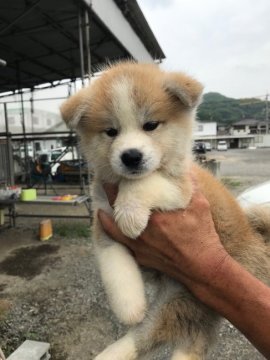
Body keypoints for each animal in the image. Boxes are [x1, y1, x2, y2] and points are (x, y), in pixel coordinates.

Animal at [61, 62, 270, 360]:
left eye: (150, 125)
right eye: (111, 131)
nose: (131, 156)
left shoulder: (182, 190)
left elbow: (145, 183)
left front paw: (130, 214)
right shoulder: (102, 219)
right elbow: (114, 264)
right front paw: (129, 305)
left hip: (192, 297)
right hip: (180, 301)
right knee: (154, 335)